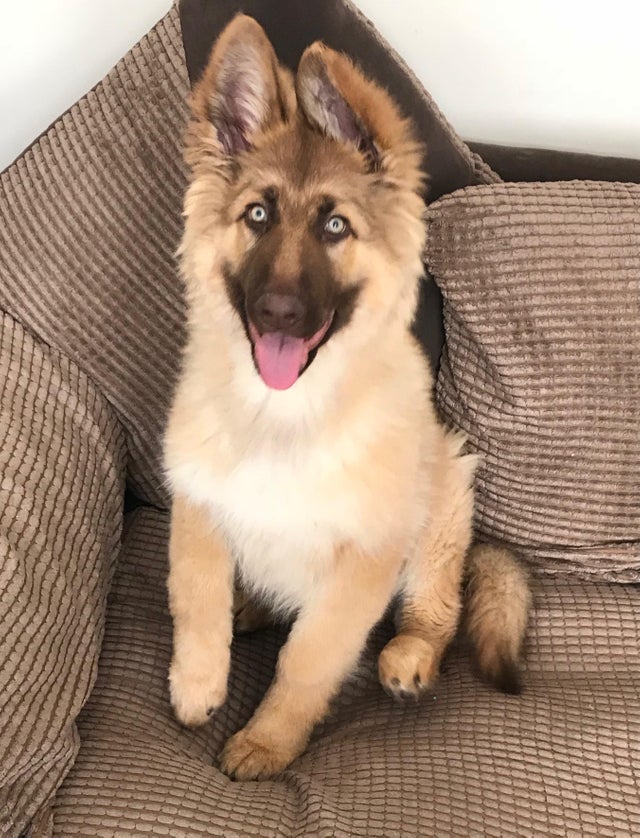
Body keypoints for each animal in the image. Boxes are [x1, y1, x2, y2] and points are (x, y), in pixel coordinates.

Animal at [164, 16, 528, 784]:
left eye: (336, 227)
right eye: (257, 215)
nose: (276, 313)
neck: (283, 413)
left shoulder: (365, 558)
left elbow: (310, 657)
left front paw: (269, 741)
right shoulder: (198, 504)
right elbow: (198, 601)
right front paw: (197, 686)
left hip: (443, 502)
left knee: (438, 608)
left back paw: (409, 656)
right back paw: (252, 606)